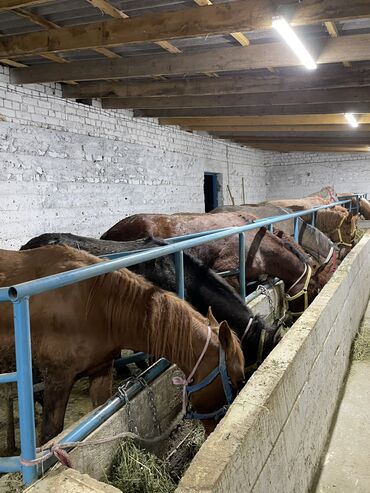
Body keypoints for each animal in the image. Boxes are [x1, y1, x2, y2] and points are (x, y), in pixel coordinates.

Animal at [1, 246, 247, 442]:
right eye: (236, 381)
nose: (216, 430)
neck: (93, 303)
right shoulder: (57, 380)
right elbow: (50, 434)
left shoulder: (100, 372)